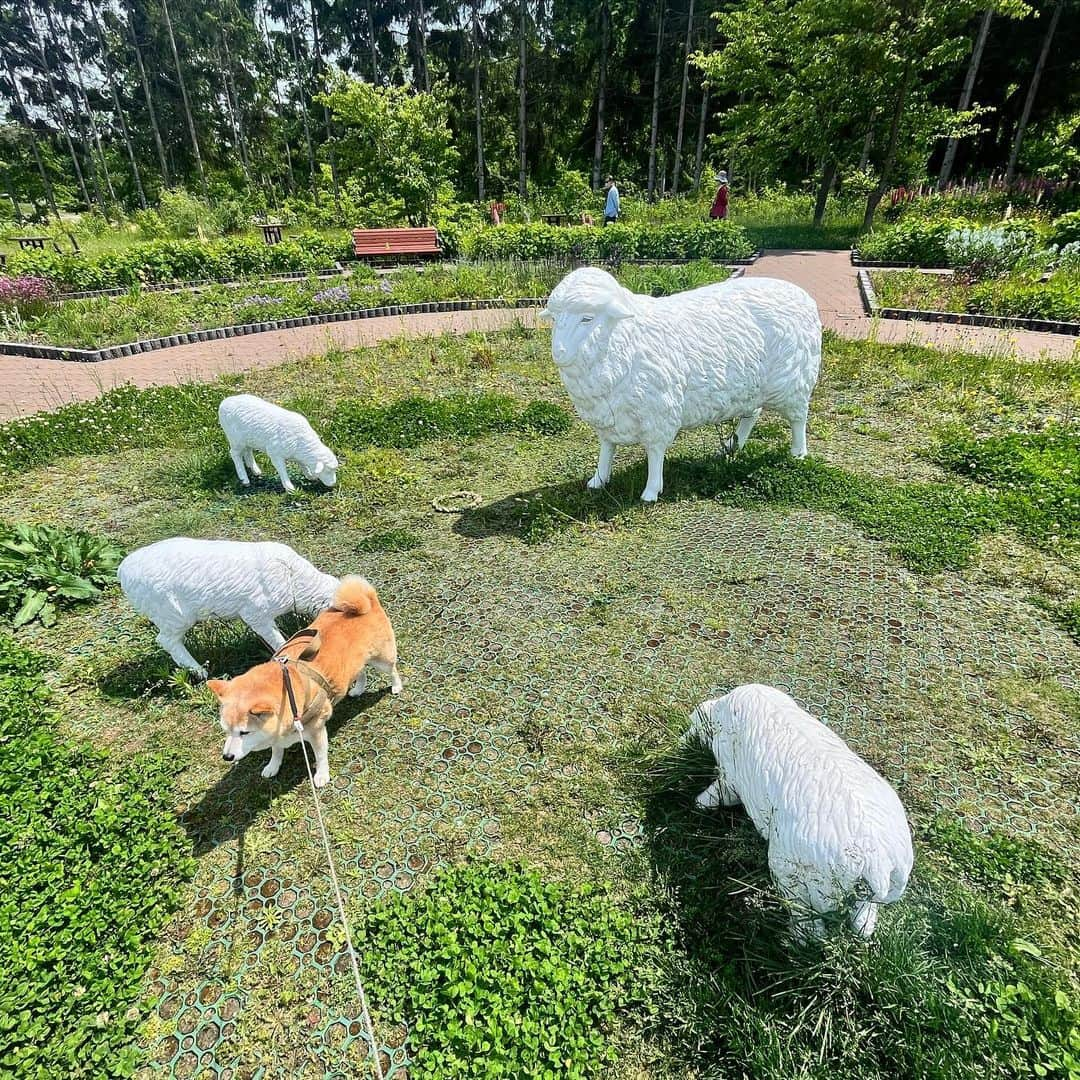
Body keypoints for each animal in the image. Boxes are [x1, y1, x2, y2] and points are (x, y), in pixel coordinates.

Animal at [206, 578, 401, 790]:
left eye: (244, 732)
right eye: (226, 730)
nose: (227, 756)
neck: (290, 691)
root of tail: (367, 601)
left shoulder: (316, 729)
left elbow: (320, 755)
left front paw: (322, 775)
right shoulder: (277, 731)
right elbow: (276, 749)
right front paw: (273, 766)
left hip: (381, 660)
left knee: (392, 670)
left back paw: (396, 686)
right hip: (354, 663)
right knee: (360, 672)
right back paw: (358, 688)